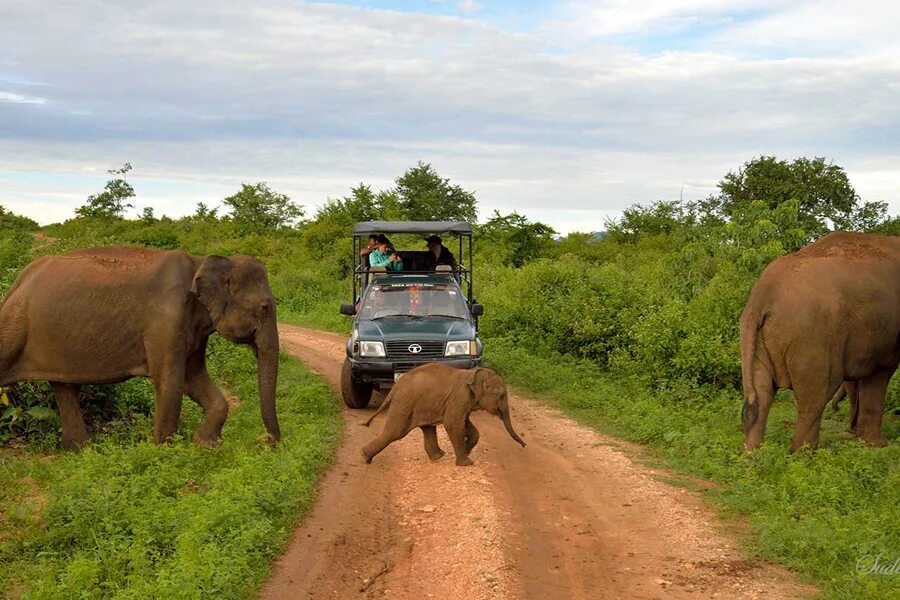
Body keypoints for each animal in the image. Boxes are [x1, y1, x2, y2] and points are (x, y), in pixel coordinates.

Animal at [0, 246, 280, 448]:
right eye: (265, 308)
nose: (268, 444)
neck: (200, 260)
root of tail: (16, 283)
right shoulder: (166, 318)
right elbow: (169, 380)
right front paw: (165, 454)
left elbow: (194, 378)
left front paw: (206, 445)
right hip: (13, 325)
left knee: (64, 389)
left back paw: (79, 451)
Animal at [360, 364, 524, 466]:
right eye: (500, 395)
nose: (524, 445)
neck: (472, 373)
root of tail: (395, 388)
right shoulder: (459, 397)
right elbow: (453, 424)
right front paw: (467, 463)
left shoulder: (463, 402)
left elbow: (465, 423)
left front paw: (467, 450)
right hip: (404, 404)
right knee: (394, 432)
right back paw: (364, 457)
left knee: (427, 429)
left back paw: (438, 456)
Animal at [740, 232, 900, 452]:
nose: (851, 428)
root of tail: (762, 296)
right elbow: (880, 372)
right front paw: (879, 445)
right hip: (813, 337)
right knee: (816, 394)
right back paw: (803, 454)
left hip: (759, 338)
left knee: (762, 392)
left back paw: (753, 453)